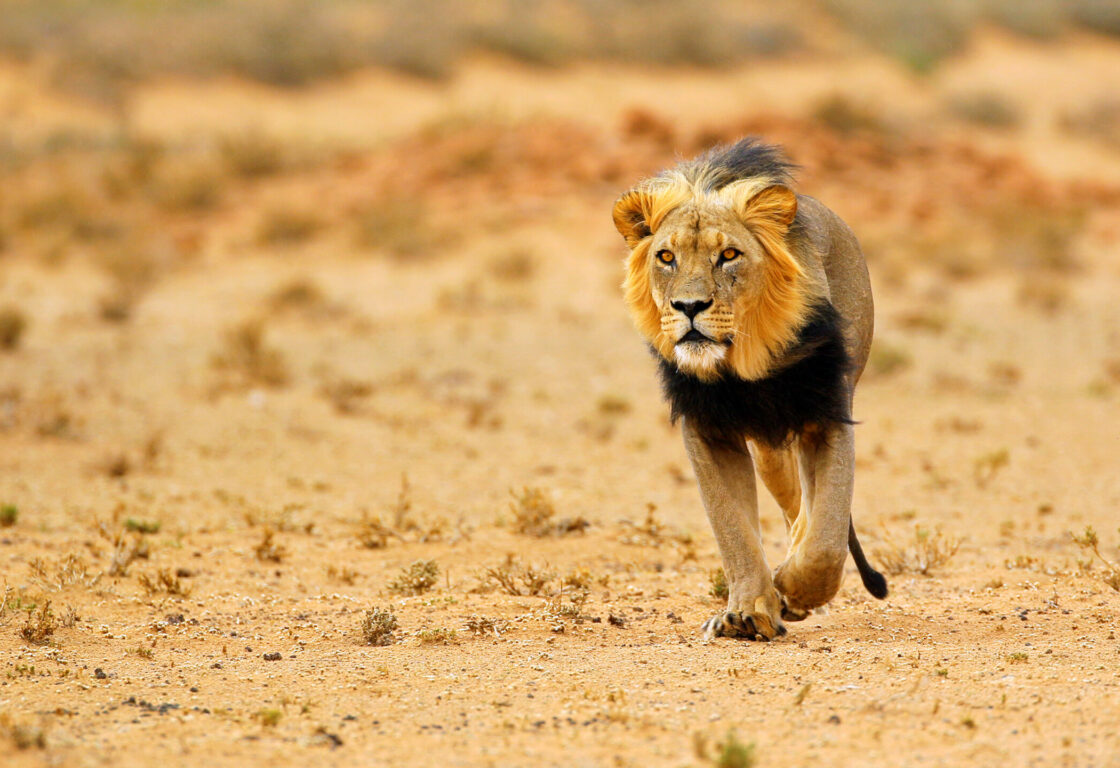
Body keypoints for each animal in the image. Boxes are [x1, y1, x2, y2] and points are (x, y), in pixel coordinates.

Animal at [611, 138, 887, 641]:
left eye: (729, 255)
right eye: (666, 257)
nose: (689, 306)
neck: (741, 366)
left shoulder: (827, 415)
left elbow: (827, 539)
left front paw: (796, 588)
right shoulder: (708, 429)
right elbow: (733, 528)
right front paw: (748, 611)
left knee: (809, 511)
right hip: (768, 449)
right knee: (792, 501)